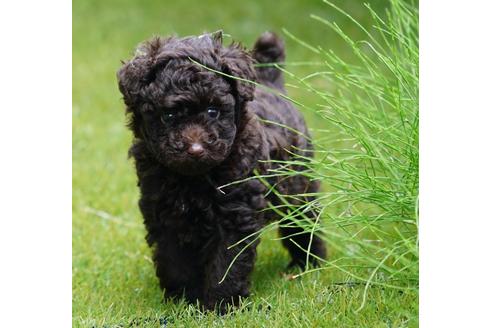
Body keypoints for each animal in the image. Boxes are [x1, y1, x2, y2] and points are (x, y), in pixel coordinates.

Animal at [117, 30, 326, 312]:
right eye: (169, 116)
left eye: (212, 111)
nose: (195, 149)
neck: (193, 179)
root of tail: (270, 81)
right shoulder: (164, 214)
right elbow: (174, 262)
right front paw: (183, 302)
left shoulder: (235, 217)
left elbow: (226, 265)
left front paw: (220, 306)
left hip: (298, 187)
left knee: (303, 224)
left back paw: (307, 265)